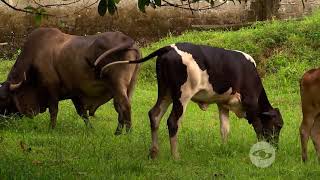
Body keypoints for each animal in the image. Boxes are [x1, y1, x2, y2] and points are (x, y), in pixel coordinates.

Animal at [0, 27, 140, 134]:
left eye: (4, 98)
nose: (2, 120)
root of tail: (127, 39)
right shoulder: (74, 92)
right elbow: (82, 113)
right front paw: (91, 130)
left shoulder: (51, 88)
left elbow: (54, 110)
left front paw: (51, 129)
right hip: (129, 86)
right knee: (120, 107)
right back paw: (118, 133)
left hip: (118, 85)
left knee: (125, 106)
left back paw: (128, 133)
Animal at [102, 42, 282, 159]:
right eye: (279, 125)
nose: (276, 147)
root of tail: (170, 47)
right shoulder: (251, 103)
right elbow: (259, 128)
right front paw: (261, 150)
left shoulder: (222, 104)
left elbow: (225, 129)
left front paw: (224, 148)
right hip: (182, 96)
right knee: (172, 121)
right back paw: (176, 156)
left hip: (165, 92)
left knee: (154, 115)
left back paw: (154, 152)